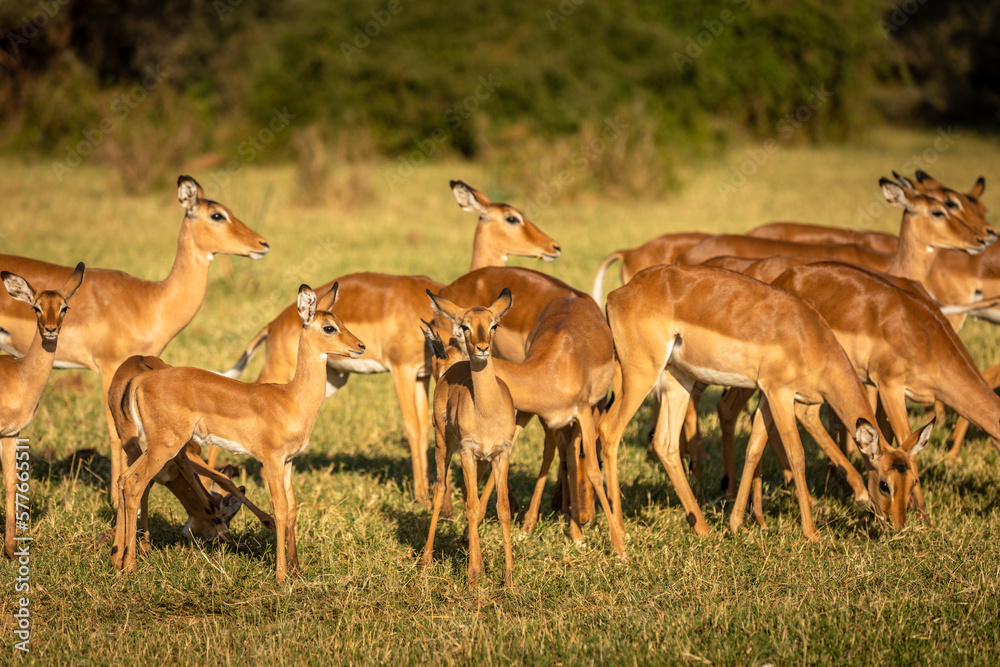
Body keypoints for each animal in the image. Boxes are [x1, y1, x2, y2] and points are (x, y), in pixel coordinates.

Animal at [0, 264, 83, 560]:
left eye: (64, 307)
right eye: (36, 307)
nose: (50, 330)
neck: (18, 375)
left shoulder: (11, 434)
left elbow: (11, 482)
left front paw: (11, 549)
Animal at [113, 284, 364, 580]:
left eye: (341, 321)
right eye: (328, 327)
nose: (360, 346)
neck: (290, 399)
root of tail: (141, 379)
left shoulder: (289, 462)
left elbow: (292, 510)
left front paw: (297, 571)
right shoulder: (271, 461)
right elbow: (279, 510)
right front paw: (281, 576)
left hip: (155, 448)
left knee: (124, 479)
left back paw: (118, 559)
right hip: (165, 447)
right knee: (135, 484)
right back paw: (129, 565)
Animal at [420, 290, 520, 588]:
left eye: (494, 324)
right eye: (465, 325)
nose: (482, 348)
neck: (486, 411)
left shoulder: (500, 454)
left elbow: (501, 508)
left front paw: (510, 578)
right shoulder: (467, 451)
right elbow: (473, 507)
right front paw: (473, 577)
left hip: (480, 462)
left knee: (467, 494)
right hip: (444, 444)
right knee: (441, 488)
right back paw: (426, 561)